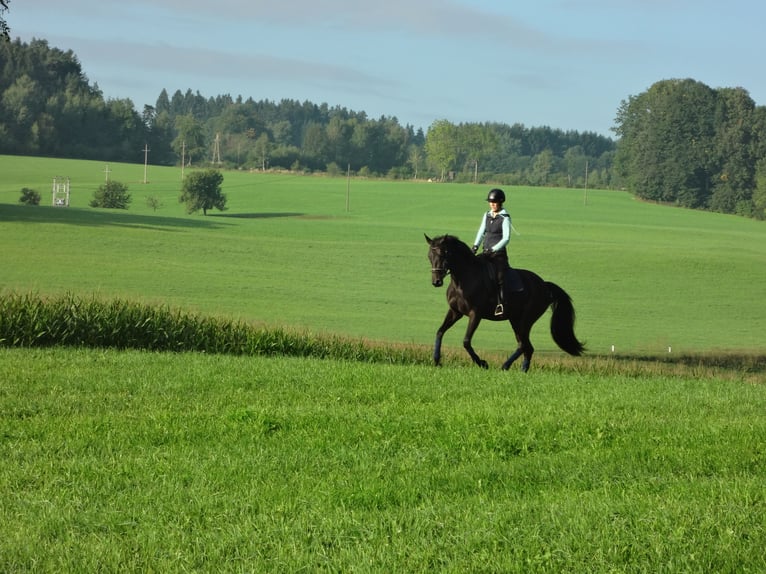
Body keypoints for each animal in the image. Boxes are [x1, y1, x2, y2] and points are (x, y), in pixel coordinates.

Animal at [428, 235, 584, 374]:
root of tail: (545, 285)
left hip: (525, 320)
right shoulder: (455, 312)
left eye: (443, 254)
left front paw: (482, 363)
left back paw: (505, 366)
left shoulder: (475, 314)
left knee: (524, 345)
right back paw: (522, 371)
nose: (436, 282)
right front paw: (436, 360)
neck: (463, 279)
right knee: (527, 347)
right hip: (515, 320)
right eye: (429, 256)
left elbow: (466, 341)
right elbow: (440, 332)